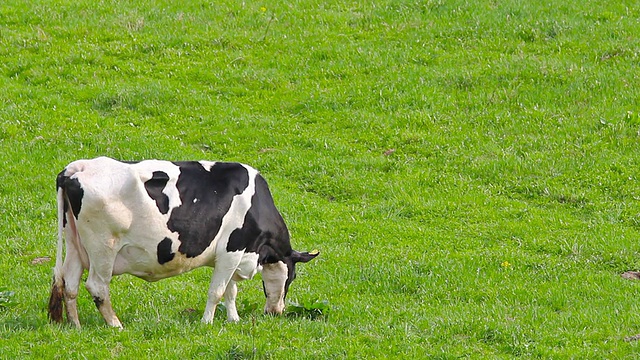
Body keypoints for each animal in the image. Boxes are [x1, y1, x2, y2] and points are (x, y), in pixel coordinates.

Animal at [48, 156, 318, 328]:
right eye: (292, 277)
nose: (276, 311)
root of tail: (78, 168)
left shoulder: (230, 255)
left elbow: (230, 290)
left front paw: (234, 319)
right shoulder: (233, 248)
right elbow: (217, 291)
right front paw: (207, 323)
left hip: (75, 244)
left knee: (69, 283)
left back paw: (76, 325)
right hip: (103, 247)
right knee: (97, 286)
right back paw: (115, 324)